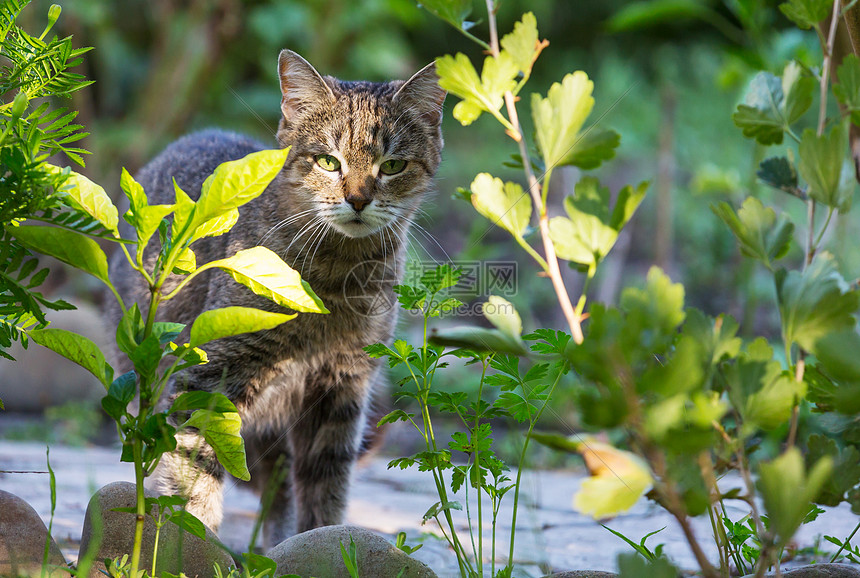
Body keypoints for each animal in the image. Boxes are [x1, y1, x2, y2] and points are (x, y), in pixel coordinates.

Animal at [106, 50, 444, 544]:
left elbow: (325, 485)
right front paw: (191, 541)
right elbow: (194, 471)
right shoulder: (210, 376)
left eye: (393, 166)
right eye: (328, 162)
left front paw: (317, 540)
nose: (358, 199)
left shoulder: (341, 387)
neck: (335, 282)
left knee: (278, 482)